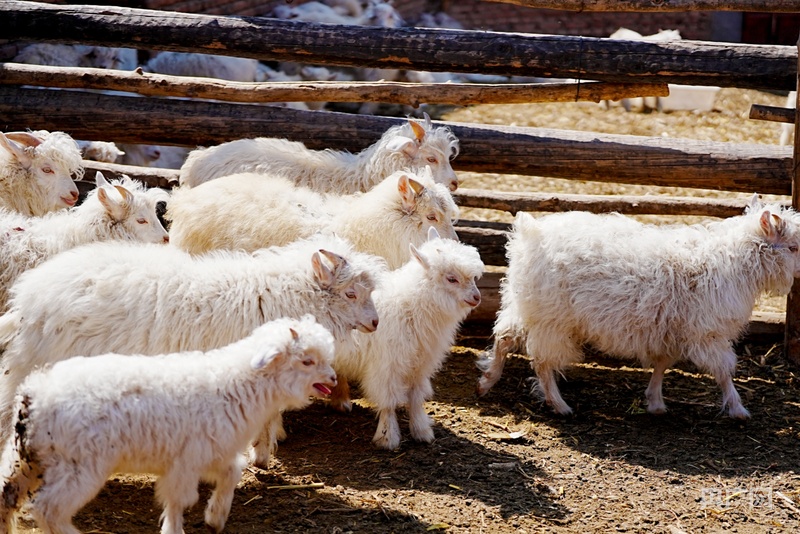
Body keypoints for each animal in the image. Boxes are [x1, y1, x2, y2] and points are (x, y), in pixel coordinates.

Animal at [0, 234, 381, 465]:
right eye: (351, 293)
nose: (375, 323)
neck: (282, 294)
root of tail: (29, 299)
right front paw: (257, 456)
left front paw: (262, 455)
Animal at [0, 315, 337, 534]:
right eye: (307, 360)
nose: (333, 379)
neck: (233, 384)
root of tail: (34, 394)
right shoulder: (186, 460)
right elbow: (178, 500)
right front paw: (177, 528)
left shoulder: (212, 452)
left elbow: (231, 473)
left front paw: (216, 517)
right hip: (78, 466)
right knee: (48, 509)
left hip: (25, 458)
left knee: (6, 494)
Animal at [328, 227, 483, 449]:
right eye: (451, 278)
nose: (476, 297)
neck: (409, 306)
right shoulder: (387, 365)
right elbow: (388, 401)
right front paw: (387, 437)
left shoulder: (421, 364)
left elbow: (416, 397)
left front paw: (421, 430)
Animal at [477, 198, 800, 419]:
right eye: (794, 248)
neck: (731, 263)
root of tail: (530, 234)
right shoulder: (707, 333)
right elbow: (723, 371)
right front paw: (737, 409)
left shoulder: (671, 328)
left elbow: (663, 363)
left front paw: (655, 402)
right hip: (552, 319)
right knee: (543, 361)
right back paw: (558, 404)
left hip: (525, 304)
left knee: (504, 336)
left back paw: (487, 380)